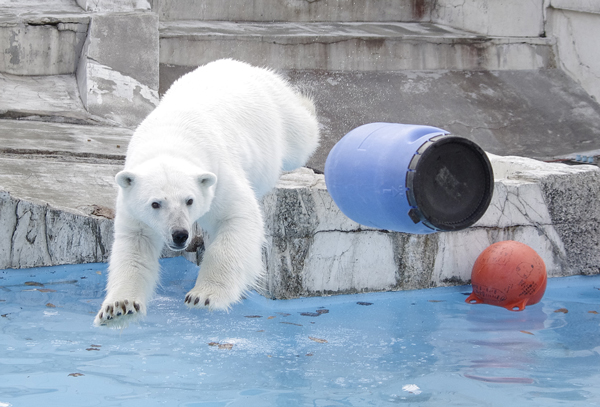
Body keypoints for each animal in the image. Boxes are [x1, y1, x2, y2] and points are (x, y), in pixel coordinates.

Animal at [94, 59, 318, 328]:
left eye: (189, 200)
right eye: (155, 204)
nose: (180, 234)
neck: (170, 138)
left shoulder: (218, 175)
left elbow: (237, 217)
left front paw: (204, 296)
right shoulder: (132, 204)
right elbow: (135, 247)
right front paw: (118, 307)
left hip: (278, 114)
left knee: (301, 134)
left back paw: (306, 104)